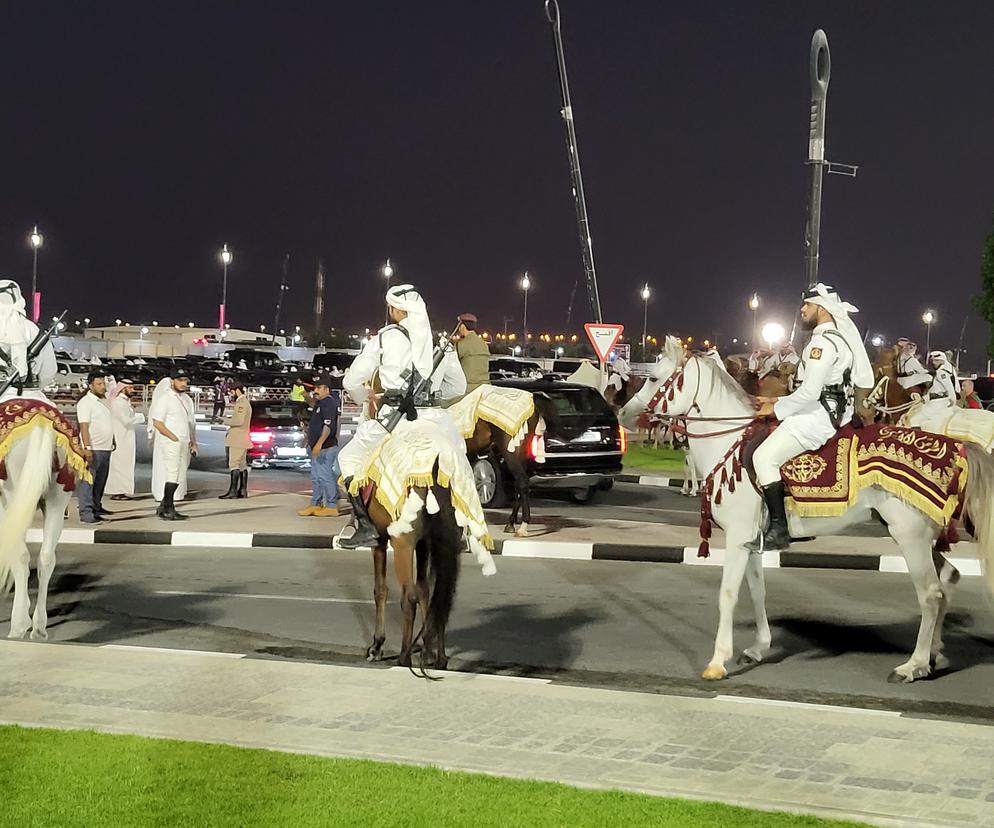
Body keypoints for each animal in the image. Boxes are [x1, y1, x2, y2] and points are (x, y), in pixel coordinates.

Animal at [0, 418, 75, 636]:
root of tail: (40, 423)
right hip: (56, 501)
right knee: (46, 557)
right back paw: (39, 626)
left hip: (15, 498)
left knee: (21, 556)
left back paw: (18, 625)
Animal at [616, 334, 992, 684]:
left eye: (653, 378)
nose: (623, 414)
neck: (730, 443)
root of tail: (957, 448)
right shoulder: (752, 541)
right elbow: (757, 591)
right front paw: (758, 647)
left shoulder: (737, 538)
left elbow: (728, 594)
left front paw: (717, 661)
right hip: (919, 537)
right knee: (948, 579)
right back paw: (935, 655)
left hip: (910, 538)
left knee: (930, 594)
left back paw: (913, 665)